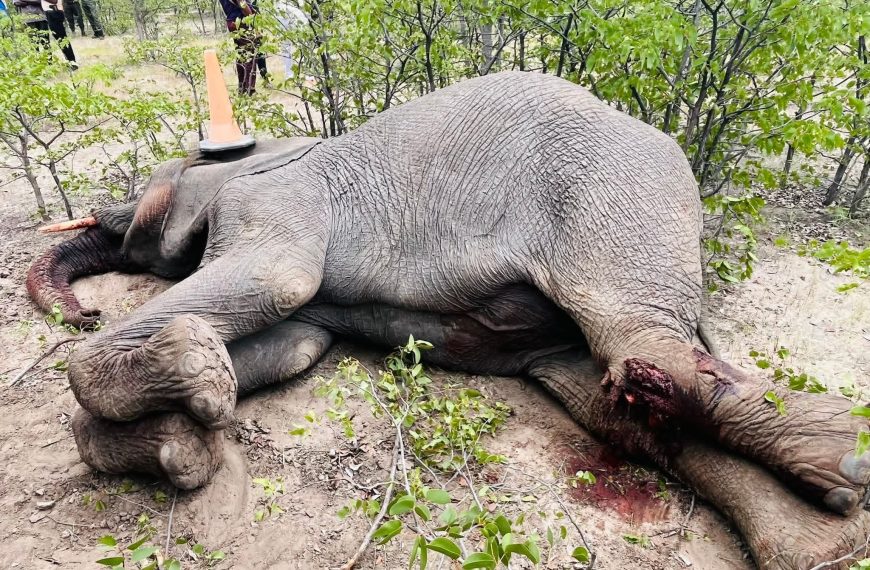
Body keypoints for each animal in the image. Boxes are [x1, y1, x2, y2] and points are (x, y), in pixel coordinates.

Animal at [25, 71, 870, 568]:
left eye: (143, 188)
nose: (85, 309)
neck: (265, 149)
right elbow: (295, 344)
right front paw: (182, 438)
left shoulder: (272, 202)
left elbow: (280, 284)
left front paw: (192, 382)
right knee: (619, 408)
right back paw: (820, 536)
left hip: (611, 199)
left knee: (642, 350)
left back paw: (843, 456)